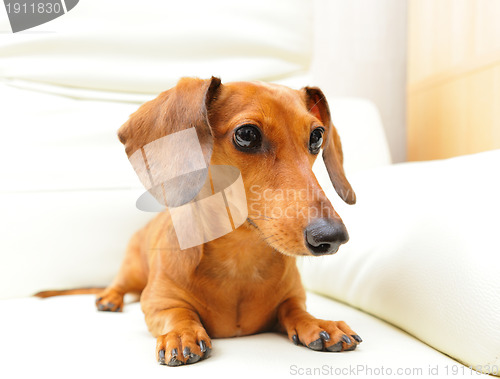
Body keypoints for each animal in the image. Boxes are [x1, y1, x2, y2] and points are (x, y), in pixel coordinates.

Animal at [94, 76, 360, 366]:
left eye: (317, 136)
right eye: (247, 135)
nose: (332, 237)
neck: (240, 259)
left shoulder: (293, 297)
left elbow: (295, 310)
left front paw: (320, 324)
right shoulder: (158, 301)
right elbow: (177, 312)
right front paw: (182, 333)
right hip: (132, 268)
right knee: (120, 284)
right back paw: (108, 299)